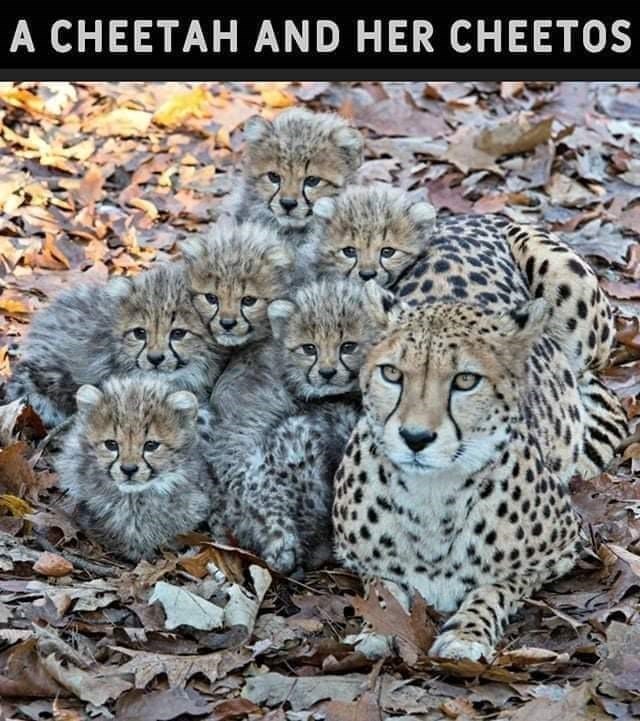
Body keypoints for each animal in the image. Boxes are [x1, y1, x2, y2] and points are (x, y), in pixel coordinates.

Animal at [333, 293, 584, 662]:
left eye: (466, 380)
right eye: (391, 373)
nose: (415, 437)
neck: (431, 494)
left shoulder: (563, 548)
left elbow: (494, 588)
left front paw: (466, 634)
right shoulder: (360, 559)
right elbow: (382, 590)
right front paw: (378, 629)